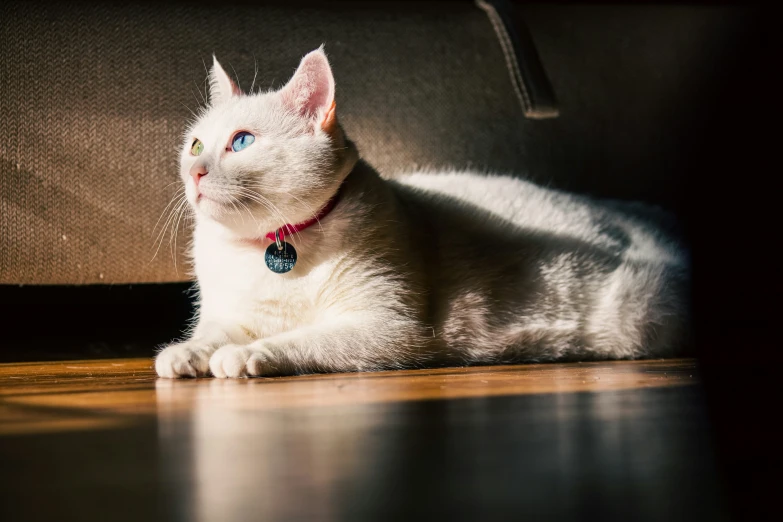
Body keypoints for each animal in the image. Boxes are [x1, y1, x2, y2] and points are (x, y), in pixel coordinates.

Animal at [156, 46, 688, 376]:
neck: (271, 247)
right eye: (196, 144)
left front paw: (245, 356)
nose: (196, 171)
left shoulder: (385, 330)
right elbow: (210, 334)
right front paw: (184, 354)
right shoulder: (230, 313)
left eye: (242, 141)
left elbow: (300, 340)